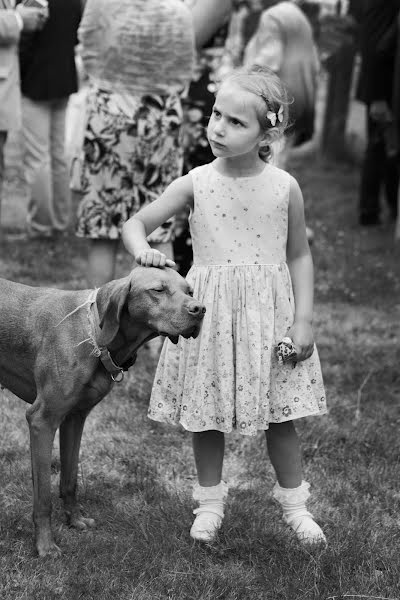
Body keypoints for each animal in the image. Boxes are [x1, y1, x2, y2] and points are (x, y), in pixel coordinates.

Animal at [0, 268, 206, 556]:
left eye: (189, 291)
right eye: (158, 290)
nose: (201, 309)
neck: (94, 336)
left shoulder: (74, 418)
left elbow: (70, 479)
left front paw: (74, 520)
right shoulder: (42, 420)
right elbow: (43, 499)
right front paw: (45, 545)